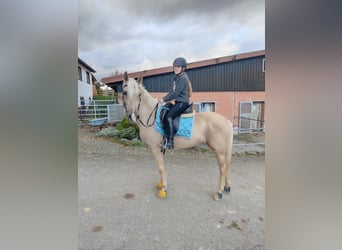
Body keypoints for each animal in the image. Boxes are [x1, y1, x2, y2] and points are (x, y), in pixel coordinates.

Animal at [121, 71, 234, 200]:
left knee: (222, 168)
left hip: (219, 151)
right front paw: (161, 184)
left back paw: (219, 192)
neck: (151, 115)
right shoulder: (160, 147)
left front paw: (164, 189)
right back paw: (226, 186)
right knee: (226, 166)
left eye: (139, 94)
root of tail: (226, 121)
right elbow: (161, 166)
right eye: (125, 92)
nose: (133, 116)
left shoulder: (155, 147)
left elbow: (160, 167)